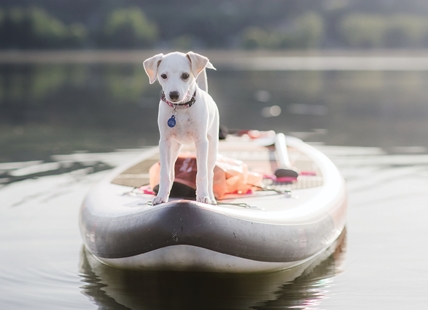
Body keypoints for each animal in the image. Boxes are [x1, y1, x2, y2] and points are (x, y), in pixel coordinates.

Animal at [144, 51, 219, 206]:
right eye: (163, 76)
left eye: (185, 75)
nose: (173, 95)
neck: (180, 109)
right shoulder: (164, 142)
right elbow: (164, 173)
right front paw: (160, 197)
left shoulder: (201, 142)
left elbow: (202, 174)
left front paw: (203, 197)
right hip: (174, 148)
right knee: (171, 173)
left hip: (212, 147)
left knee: (210, 172)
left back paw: (211, 198)